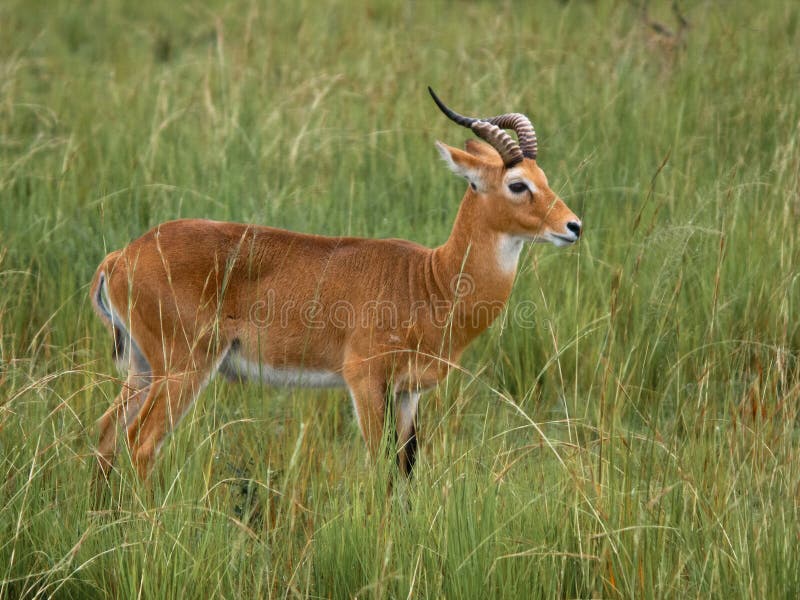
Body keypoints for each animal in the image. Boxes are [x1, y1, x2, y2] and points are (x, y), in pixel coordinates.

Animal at [90, 88, 581, 483]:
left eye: (544, 179)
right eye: (517, 184)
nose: (573, 226)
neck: (430, 281)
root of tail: (122, 256)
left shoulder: (408, 394)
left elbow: (406, 468)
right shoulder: (363, 381)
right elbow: (380, 466)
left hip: (142, 369)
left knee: (107, 431)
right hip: (184, 368)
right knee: (141, 443)